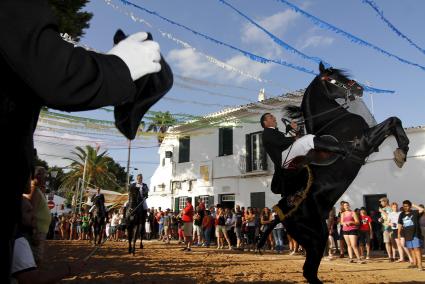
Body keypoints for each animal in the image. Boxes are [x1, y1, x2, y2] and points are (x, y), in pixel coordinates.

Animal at [256, 62, 410, 284]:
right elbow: (392, 121)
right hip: (317, 239)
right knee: (309, 271)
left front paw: (401, 151)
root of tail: (281, 213)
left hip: (316, 238)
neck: (334, 118)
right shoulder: (365, 142)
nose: (358, 88)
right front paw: (402, 151)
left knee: (309, 272)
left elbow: (394, 122)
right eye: (333, 77)